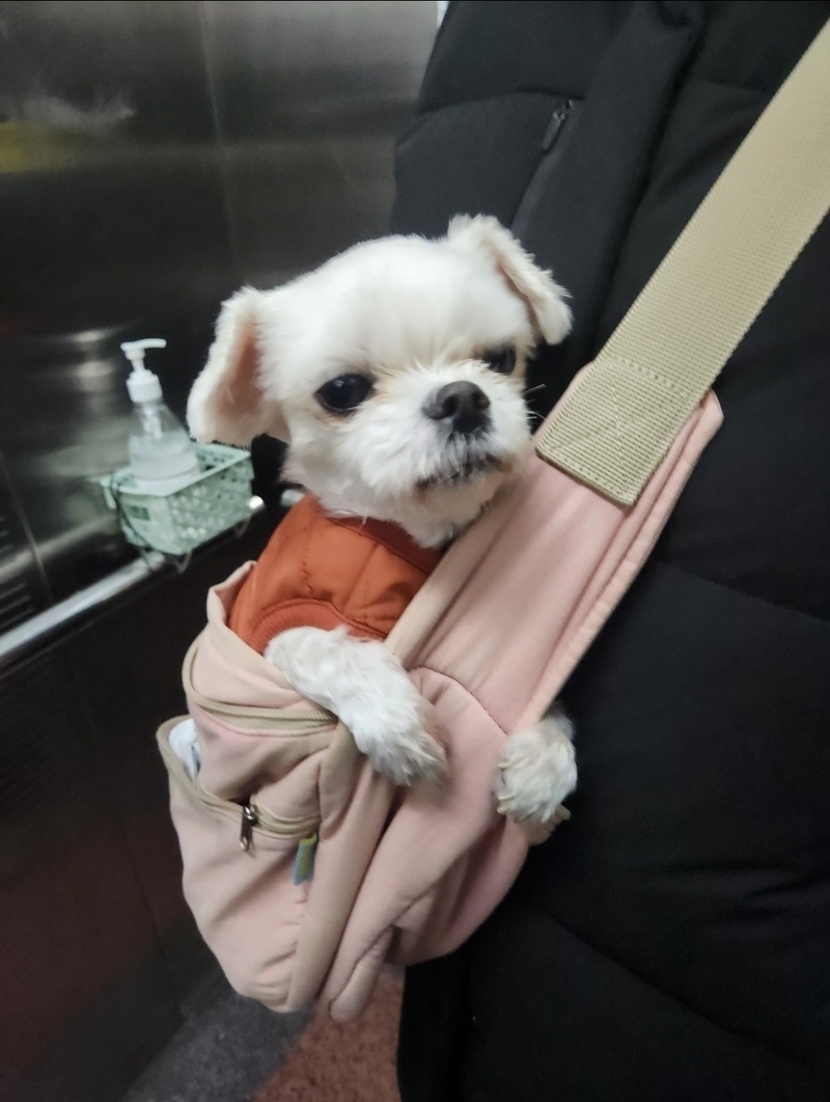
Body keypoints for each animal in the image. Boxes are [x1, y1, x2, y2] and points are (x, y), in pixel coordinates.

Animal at [184, 215, 577, 824]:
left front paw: (546, 754)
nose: (462, 398)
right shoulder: (270, 624)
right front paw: (400, 727)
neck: (403, 532)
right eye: (343, 391)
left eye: (500, 359)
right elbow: (317, 646)